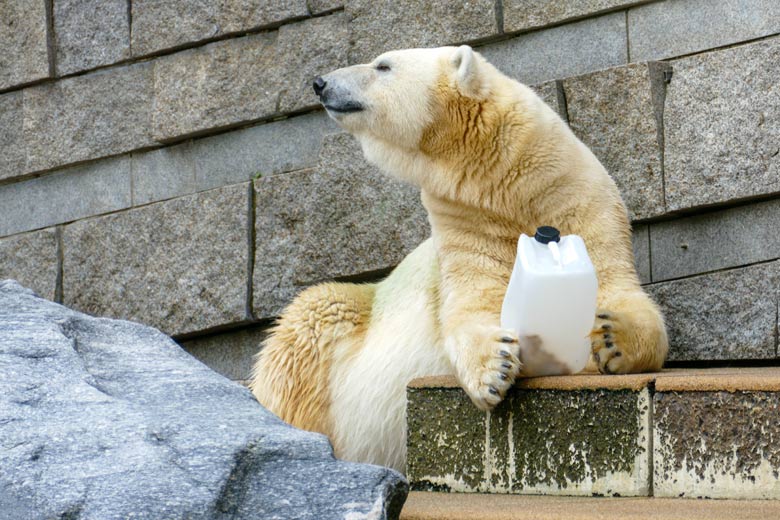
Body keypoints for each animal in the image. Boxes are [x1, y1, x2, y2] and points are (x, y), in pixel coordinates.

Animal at [250, 46, 672, 474]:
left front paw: (612, 338)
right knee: (305, 329)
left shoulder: (578, 200)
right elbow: (472, 304)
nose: (320, 83)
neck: (509, 185)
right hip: (336, 332)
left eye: (382, 65)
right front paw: (495, 369)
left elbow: (617, 285)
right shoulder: (463, 223)